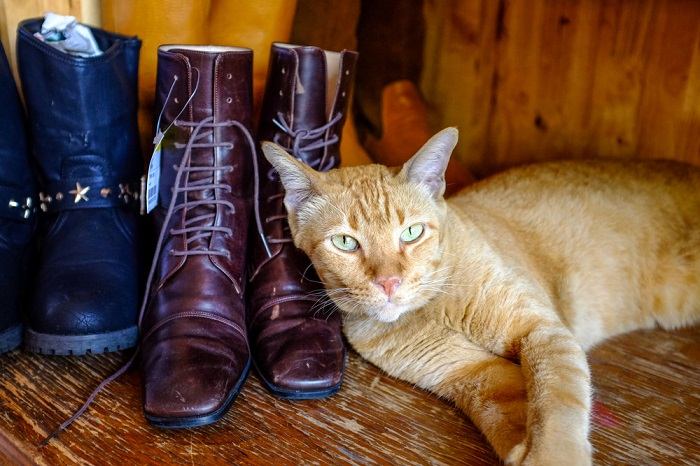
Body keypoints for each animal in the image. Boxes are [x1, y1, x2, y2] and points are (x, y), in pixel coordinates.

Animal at [262, 128, 700, 466]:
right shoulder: (475, 373)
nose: (389, 282)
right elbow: (515, 411)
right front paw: (522, 450)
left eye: (411, 233)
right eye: (345, 242)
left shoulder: (542, 330)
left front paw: (550, 455)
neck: (435, 307)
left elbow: (555, 399)